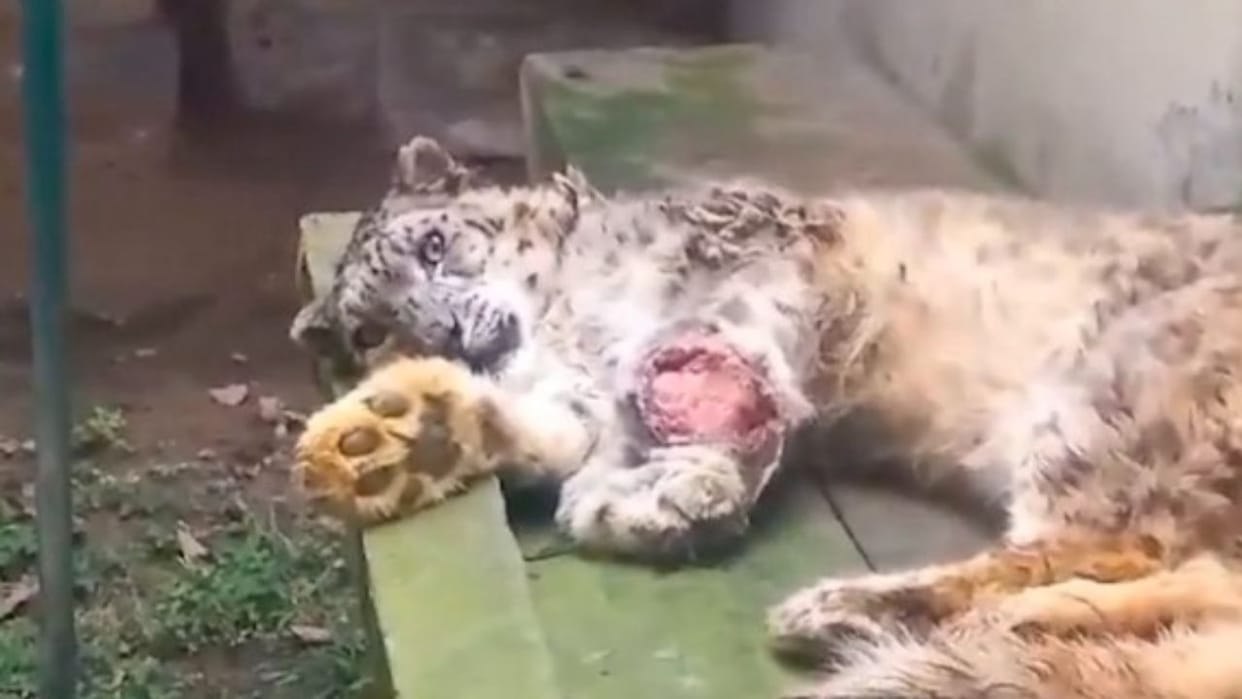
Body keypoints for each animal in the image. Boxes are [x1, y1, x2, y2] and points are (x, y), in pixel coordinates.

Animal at [289, 135, 1242, 698]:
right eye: (370, 330)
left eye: (435, 243)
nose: (450, 334)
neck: (571, 320)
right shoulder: (573, 389)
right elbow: (551, 426)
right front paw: (401, 431)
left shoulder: (752, 266)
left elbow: (724, 357)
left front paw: (675, 491)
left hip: (1113, 397)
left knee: (1116, 547)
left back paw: (859, 607)